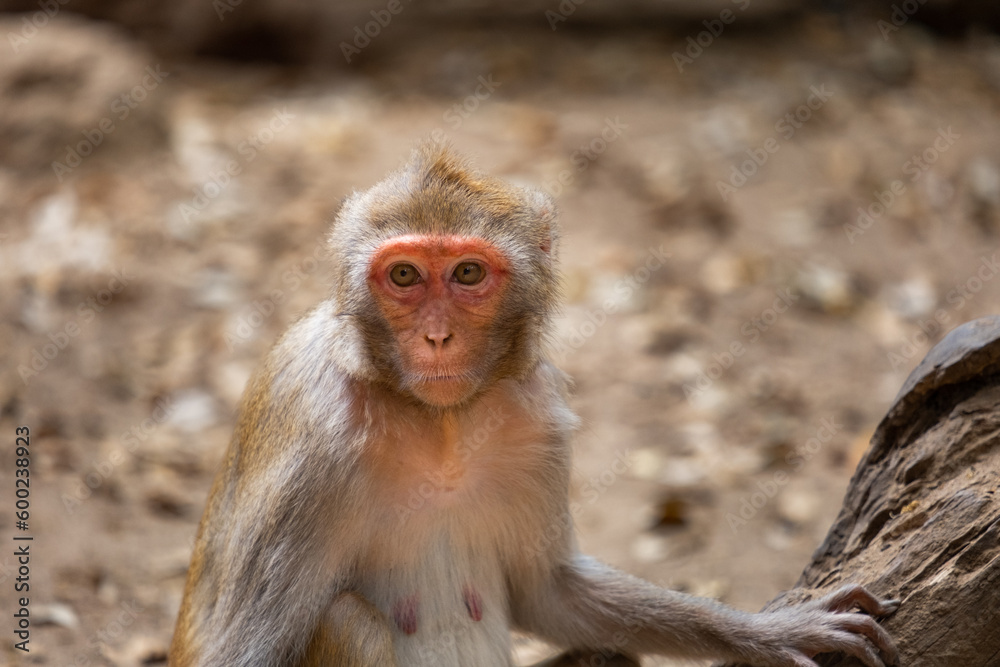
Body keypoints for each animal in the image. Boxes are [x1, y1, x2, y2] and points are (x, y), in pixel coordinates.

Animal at [170, 144, 899, 667]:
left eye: (467, 273)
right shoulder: (311, 432)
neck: (438, 424)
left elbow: (548, 590)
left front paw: (763, 632)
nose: (437, 337)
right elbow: (245, 655)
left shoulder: (537, 416)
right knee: (350, 622)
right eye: (404, 275)